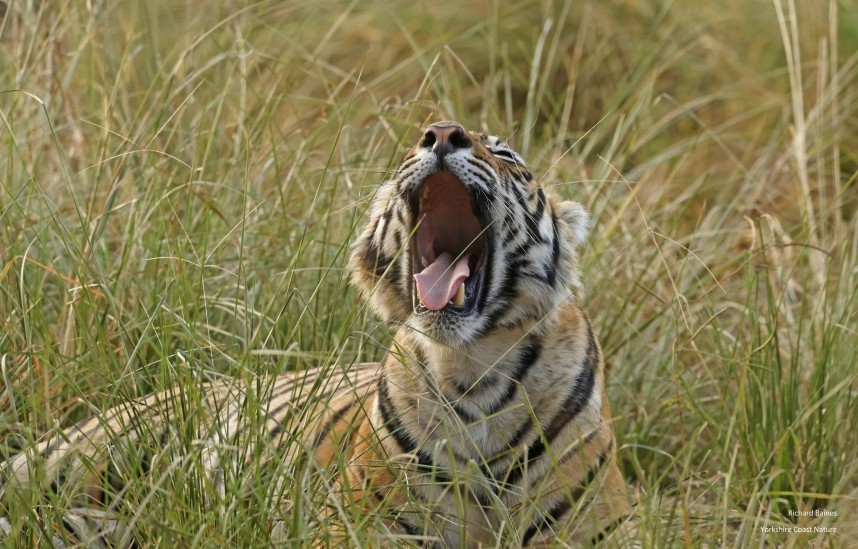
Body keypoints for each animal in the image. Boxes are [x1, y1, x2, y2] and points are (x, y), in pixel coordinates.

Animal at [1, 121, 632, 547]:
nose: (442, 133)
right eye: (417, 142)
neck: (471, 369)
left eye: (504, 155)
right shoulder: (357, 528)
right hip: (76, 456)